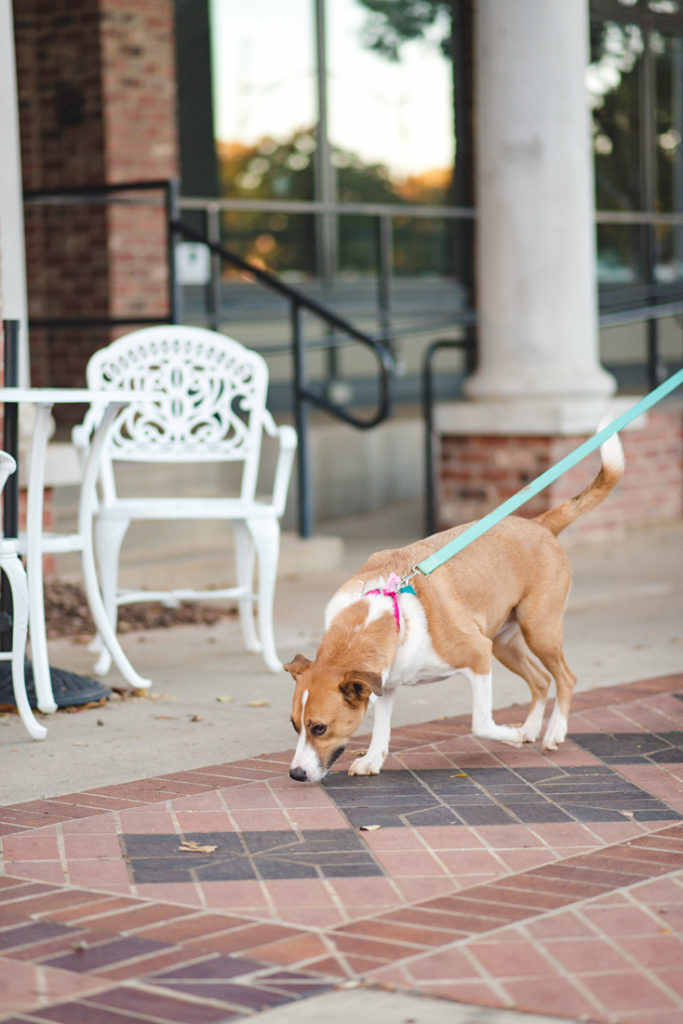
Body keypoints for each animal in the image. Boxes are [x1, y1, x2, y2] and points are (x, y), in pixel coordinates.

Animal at [286, 428, 622, 778]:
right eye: (295, 725)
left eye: (319, 728)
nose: (296, 775)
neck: (379, 614)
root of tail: (540, 524)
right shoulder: (385, 682)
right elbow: (381, 726)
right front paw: (372, 759)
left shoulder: (478, 656)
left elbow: (481, 724)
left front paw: (511, 735)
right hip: (504, 644)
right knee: (542, 681)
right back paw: (531, 728)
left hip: (537, 630)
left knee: (566, 678)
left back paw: (553, 730)